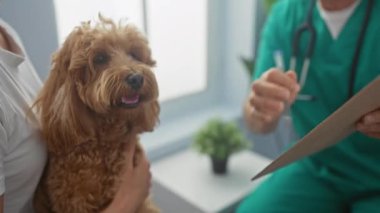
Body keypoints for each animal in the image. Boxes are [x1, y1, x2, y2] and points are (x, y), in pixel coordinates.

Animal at [30, 17, 159, 213]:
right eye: (100, 58)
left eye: (134, 54)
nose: (136, 78)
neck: (107, 142)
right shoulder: (74, 202)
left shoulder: (143, 205)